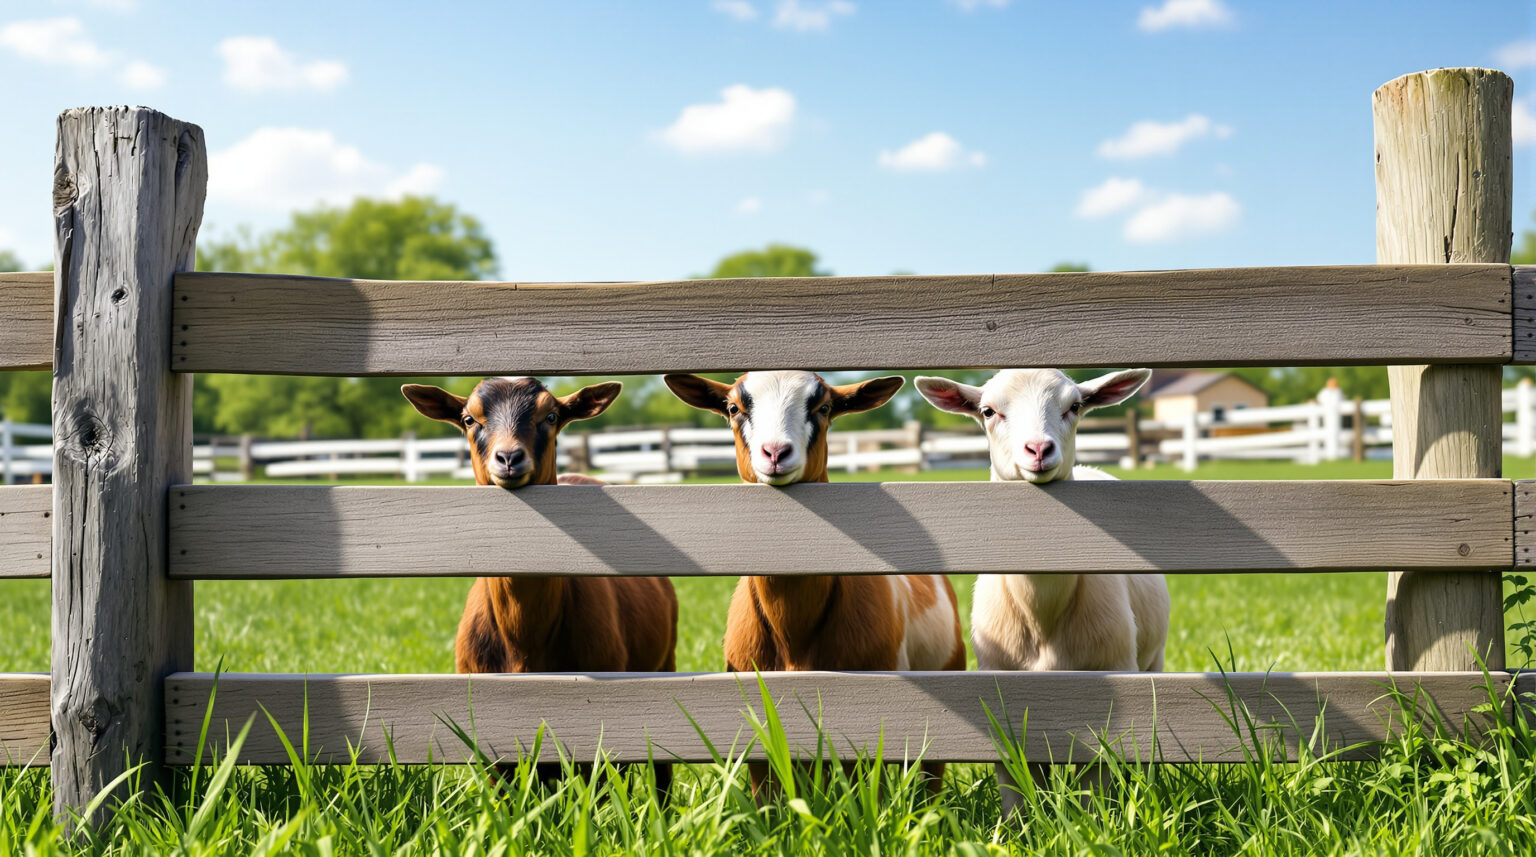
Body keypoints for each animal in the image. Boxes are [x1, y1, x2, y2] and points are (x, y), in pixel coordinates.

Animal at [915, 368, 1170, 809]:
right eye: (988, 411)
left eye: (1075, 406)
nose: (1038, 449)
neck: (1043, 611)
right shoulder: (1003, 697)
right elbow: (1018, 794)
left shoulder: (1111, 683)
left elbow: (1093, 791)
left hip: (1153, 661)